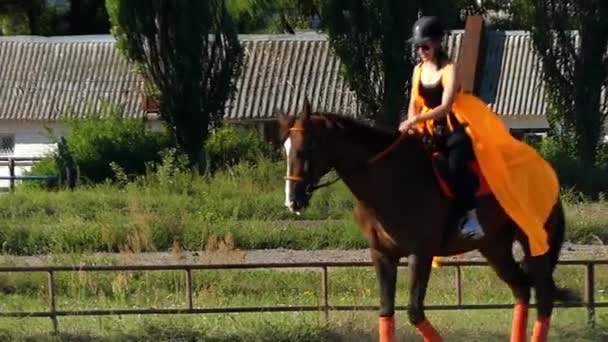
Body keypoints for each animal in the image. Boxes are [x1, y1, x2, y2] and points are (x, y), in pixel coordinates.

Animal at [278, 100, 576, 342]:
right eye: (285, 150)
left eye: (307, 148)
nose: (293, 200)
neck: (388, 179)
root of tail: (546, 169)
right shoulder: (382, 254)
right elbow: (386, 313)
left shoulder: (420, 254)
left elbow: (415, 312)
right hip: (494, 247)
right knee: (522, 290)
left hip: (534, 242)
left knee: (544, 298)